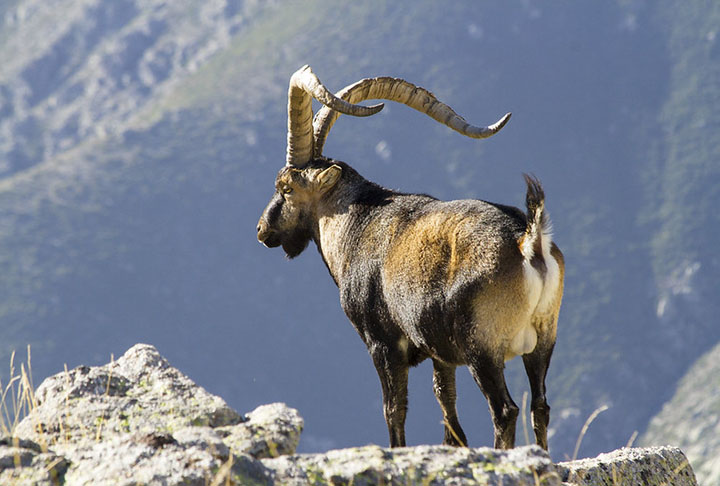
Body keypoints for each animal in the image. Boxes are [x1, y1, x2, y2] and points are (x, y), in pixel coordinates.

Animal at [257, 66, 564, 450]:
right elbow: (446, 402)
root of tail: (529, 243)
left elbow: (394, 408)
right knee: (541, 406)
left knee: (505, 410)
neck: (354, 222)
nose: (262, 230)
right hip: (544, 339)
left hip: (483, 347)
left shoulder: (383, 344)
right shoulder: (440, 353)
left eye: (285, 187)